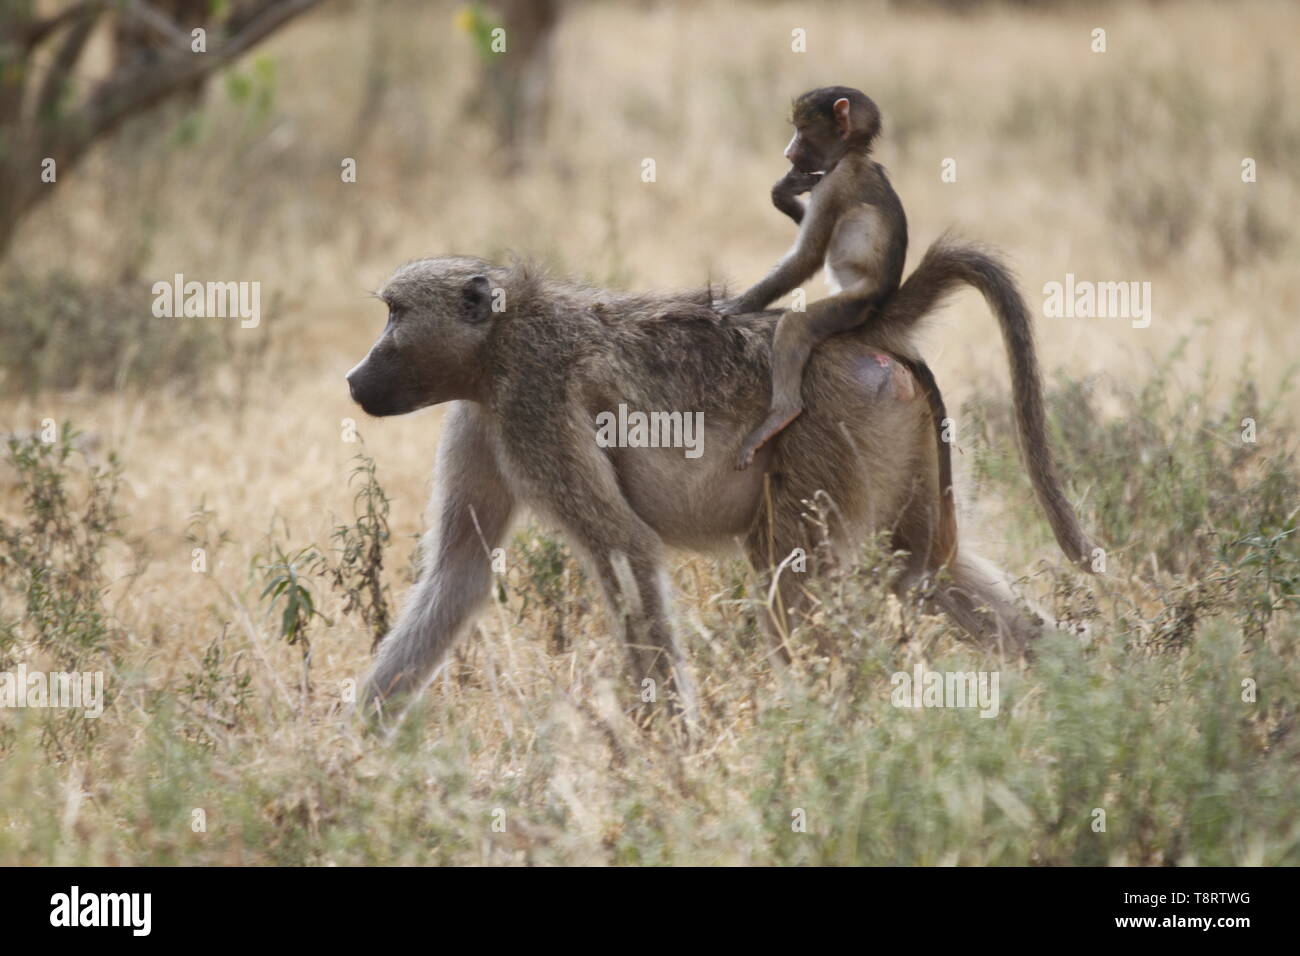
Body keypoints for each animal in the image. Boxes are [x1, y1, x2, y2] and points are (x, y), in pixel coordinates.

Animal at [345, 243, 1094, 726]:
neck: (499, 340)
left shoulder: (530, 402)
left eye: (393, 314)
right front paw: (351, 750)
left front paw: (669, 754)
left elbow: (626, 549)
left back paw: (838, 747)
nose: (354, 378)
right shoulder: (482, 419)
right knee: (924, 571)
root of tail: (861, 332)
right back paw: (1098, 701)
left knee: (788, 577)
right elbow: (461, 571)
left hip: (831, 429)